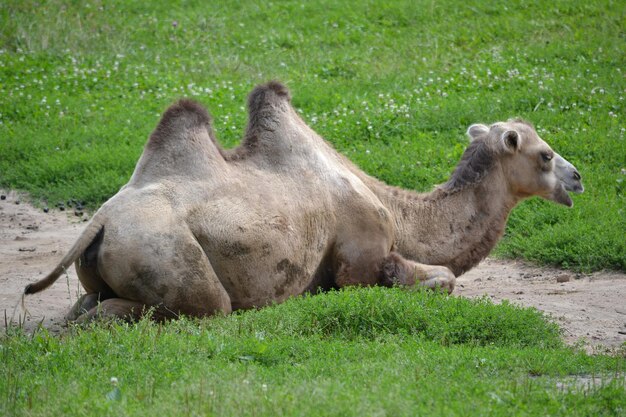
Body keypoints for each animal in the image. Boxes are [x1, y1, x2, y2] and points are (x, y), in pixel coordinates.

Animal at [22, 82, 584, 322]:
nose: (577, 178)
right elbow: (439, 278)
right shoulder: (362, 254)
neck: (400, 214)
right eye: (544, 154)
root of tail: (98, 222)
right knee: (195, 308)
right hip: (167, 253)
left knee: (86, 303)